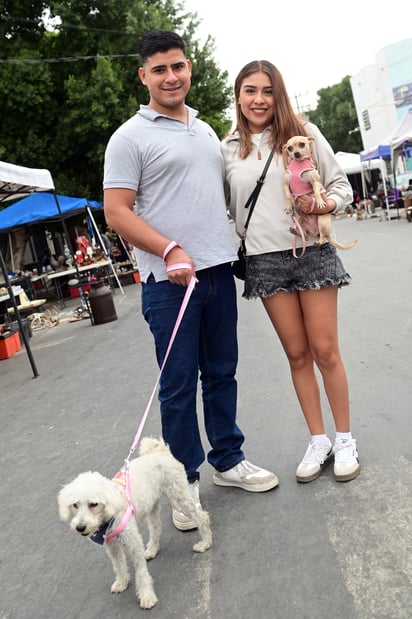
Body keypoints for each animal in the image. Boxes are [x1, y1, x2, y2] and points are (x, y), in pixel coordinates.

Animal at [57, 438, 212, 612]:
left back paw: (205, 543)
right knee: (156, 526)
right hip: (152, 504)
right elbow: (119, 566)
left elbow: (141, 572)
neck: (110, 515)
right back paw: (152, 549)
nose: (80, 527)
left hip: (179, 497)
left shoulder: (133, 542)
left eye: (94, 504)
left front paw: (146, 596)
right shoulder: (112, 546)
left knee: (202, 517)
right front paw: (122, 582)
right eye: (75, 505)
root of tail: (159, 451)